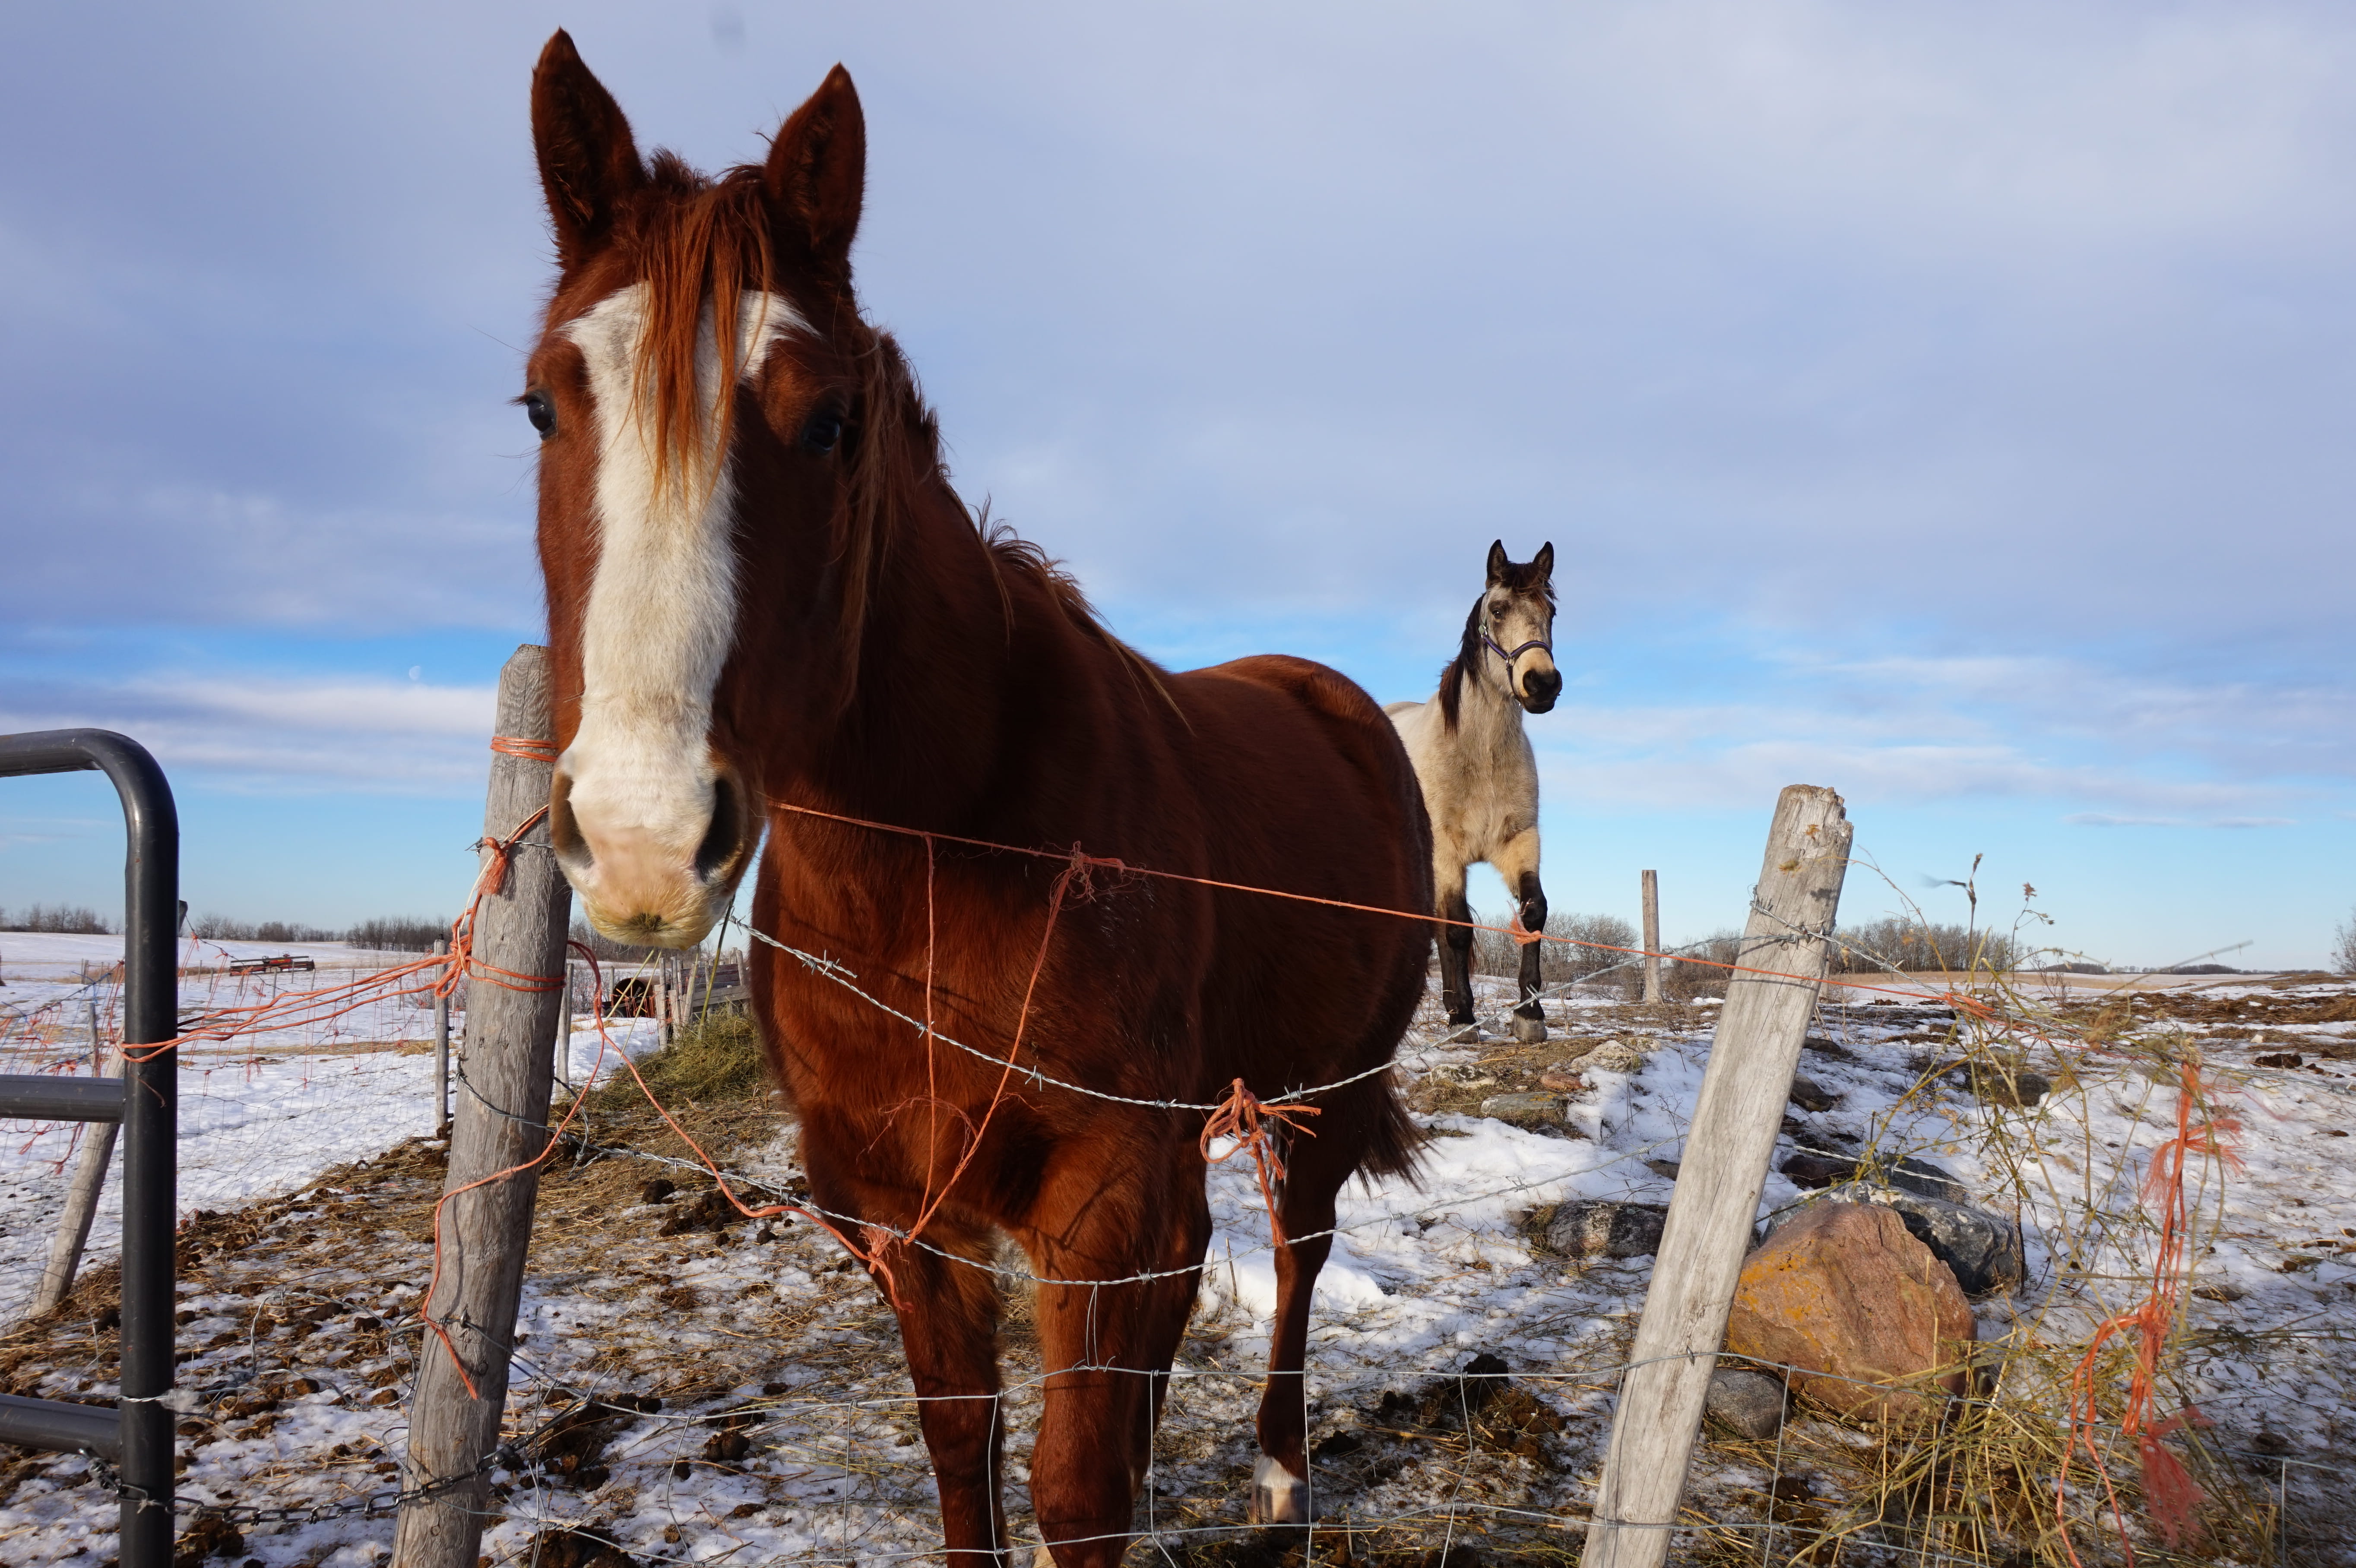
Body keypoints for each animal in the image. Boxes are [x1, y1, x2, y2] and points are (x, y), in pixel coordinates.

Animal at [521, 34, 1433, 1565]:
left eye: (830, 423)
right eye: (542, 403)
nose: (647, 838)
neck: (938, 870)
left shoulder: (1102, 1202)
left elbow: (1075, 1493)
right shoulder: (904, 1219)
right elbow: (968, 1459)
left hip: (1327, 1097)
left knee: (1298, 1255)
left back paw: (1280, 1472)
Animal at [1385, 542, 1561, 1042]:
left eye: (1551, 612)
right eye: (1498, 610)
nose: (1543, 684)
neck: (1479, 757)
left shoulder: (1519, 843)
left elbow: (1534, 915)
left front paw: (1530, 1013)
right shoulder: (1446, 854)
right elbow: (1458, 929)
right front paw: (1463, 1016)